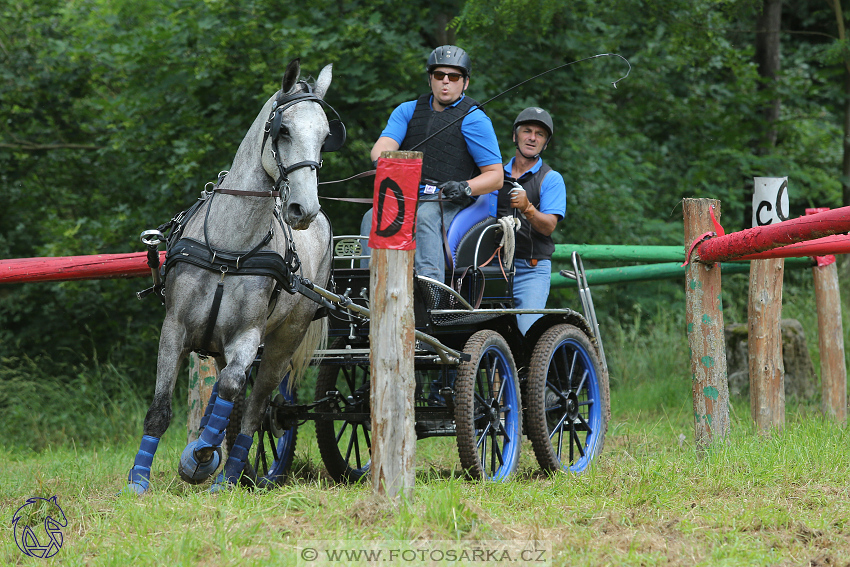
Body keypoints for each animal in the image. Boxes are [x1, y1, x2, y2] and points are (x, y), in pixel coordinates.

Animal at [125, 58, 334, 492]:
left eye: (325, 137)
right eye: (283, 130)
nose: (304, 209)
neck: (229, 249)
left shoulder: (248, 337)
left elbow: (233, 390)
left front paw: (199, 459)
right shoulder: (174, 329)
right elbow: (160, 409)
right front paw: (138, 480)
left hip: (282, 343)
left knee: (256, 410)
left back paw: (229, 473)